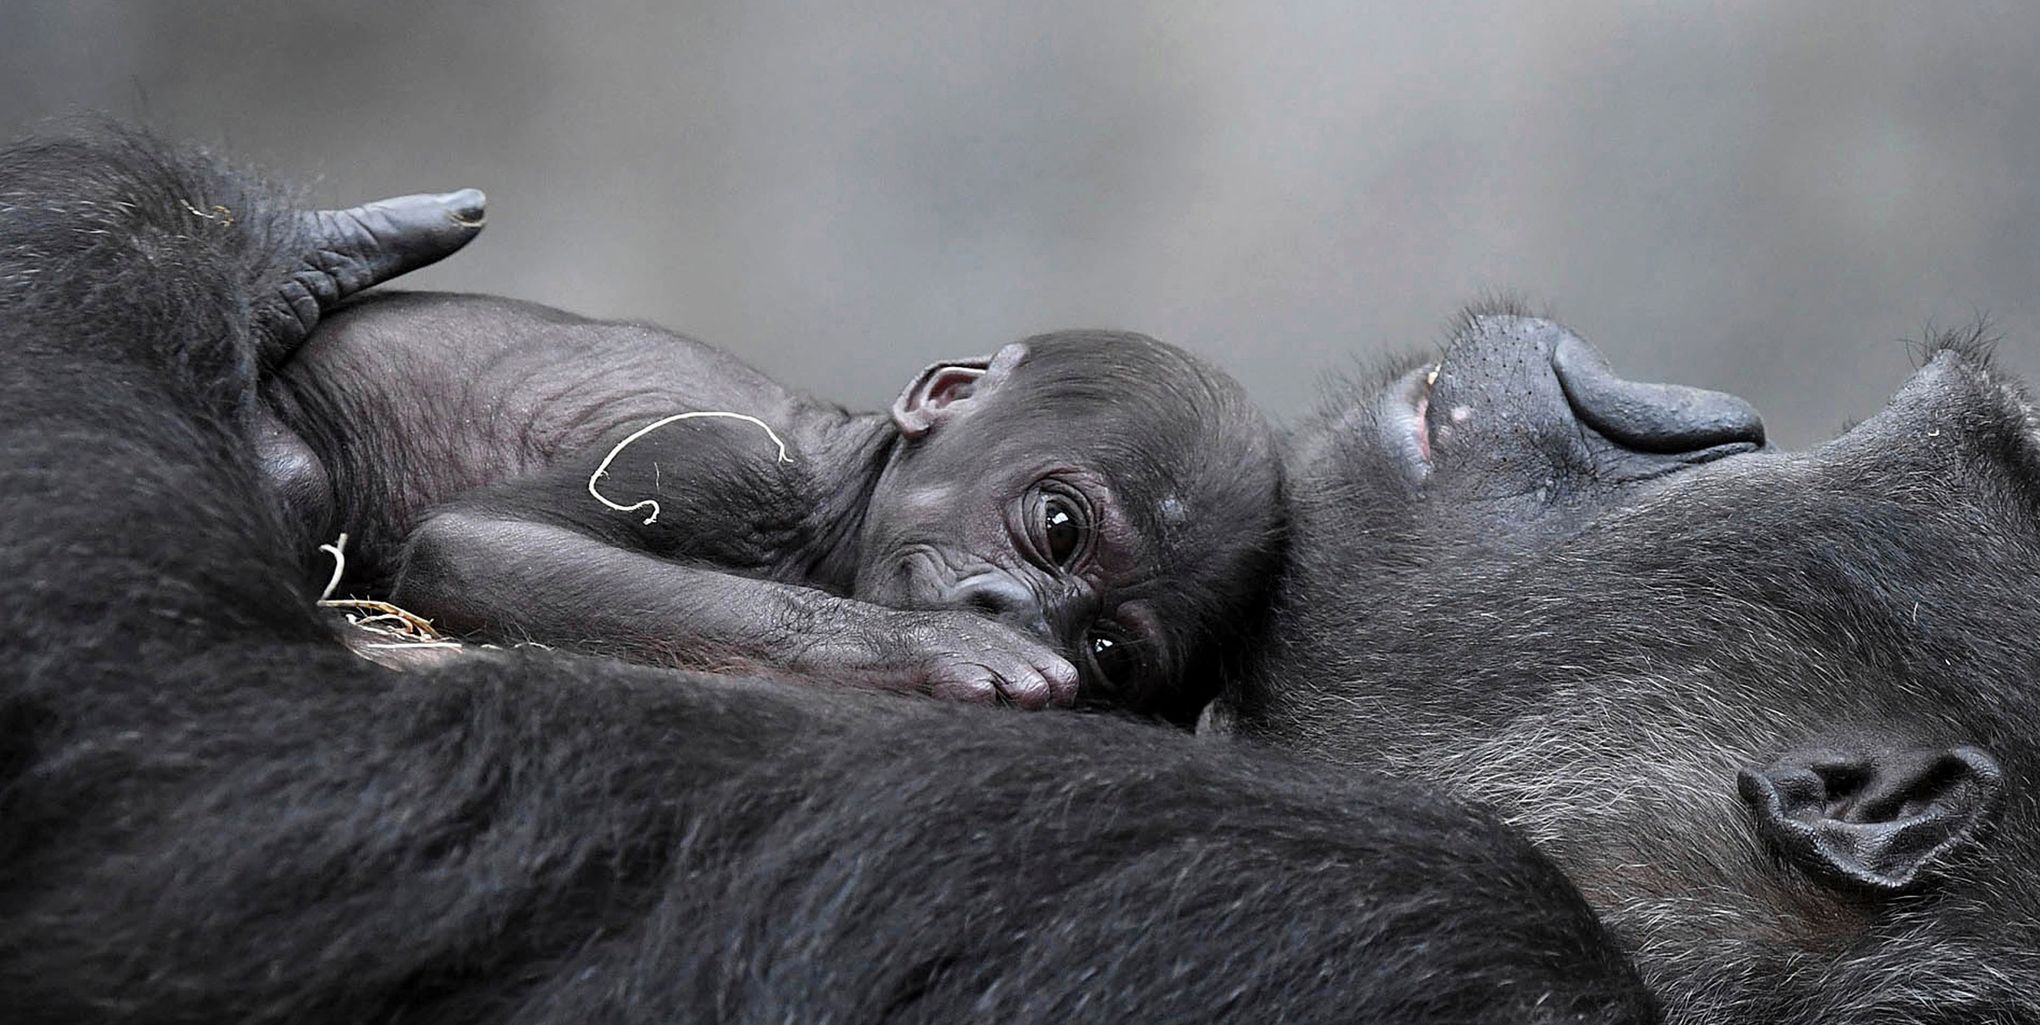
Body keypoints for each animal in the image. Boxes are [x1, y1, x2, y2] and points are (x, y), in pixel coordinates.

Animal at [263, 294, 1281, 718]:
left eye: (1108, 652)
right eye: (1060, 528)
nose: (1016, 612)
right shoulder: (732, 457)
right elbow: (475, 544)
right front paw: (948, 647)